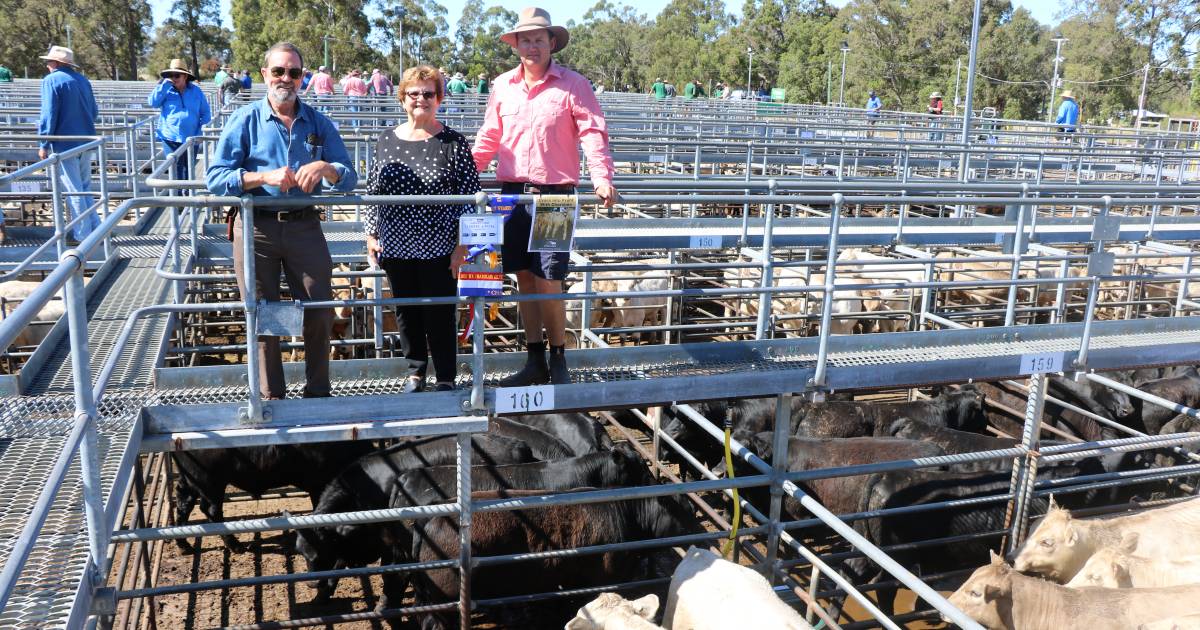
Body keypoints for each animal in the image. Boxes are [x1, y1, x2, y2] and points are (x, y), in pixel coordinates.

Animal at [171, 439, 372, 552]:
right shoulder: (317, 484)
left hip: (191, 480)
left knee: (184, 504)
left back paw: (185, 547)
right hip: (210, 482)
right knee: (211, 510)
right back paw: (237, 547)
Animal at [290, 432, 535, 600]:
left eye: (319, 554)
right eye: (302, 553)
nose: (311, 584)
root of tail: (518, 445)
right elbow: (339, 562)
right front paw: (322, 595)